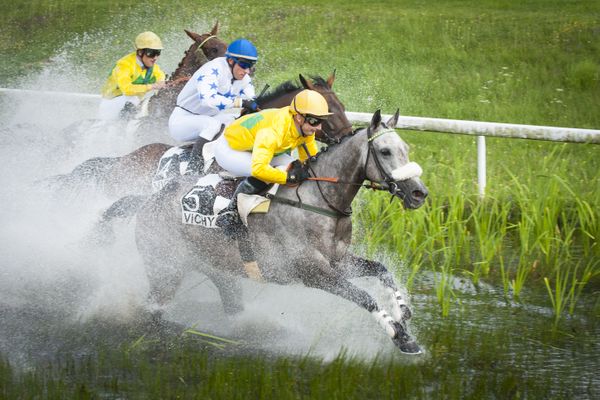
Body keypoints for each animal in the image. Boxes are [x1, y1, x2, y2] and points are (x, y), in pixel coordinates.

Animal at [134, 109, 428, 354]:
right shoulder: (314, 272)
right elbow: (364, 296)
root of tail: (148, 201)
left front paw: (402, 310)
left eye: (405, 148)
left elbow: (381, 270)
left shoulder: (339, 261)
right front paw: (400, 335)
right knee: (153, 308)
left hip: (217, 270)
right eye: (385, 151)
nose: (419, 193)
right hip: (165, 271)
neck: (319, 202)